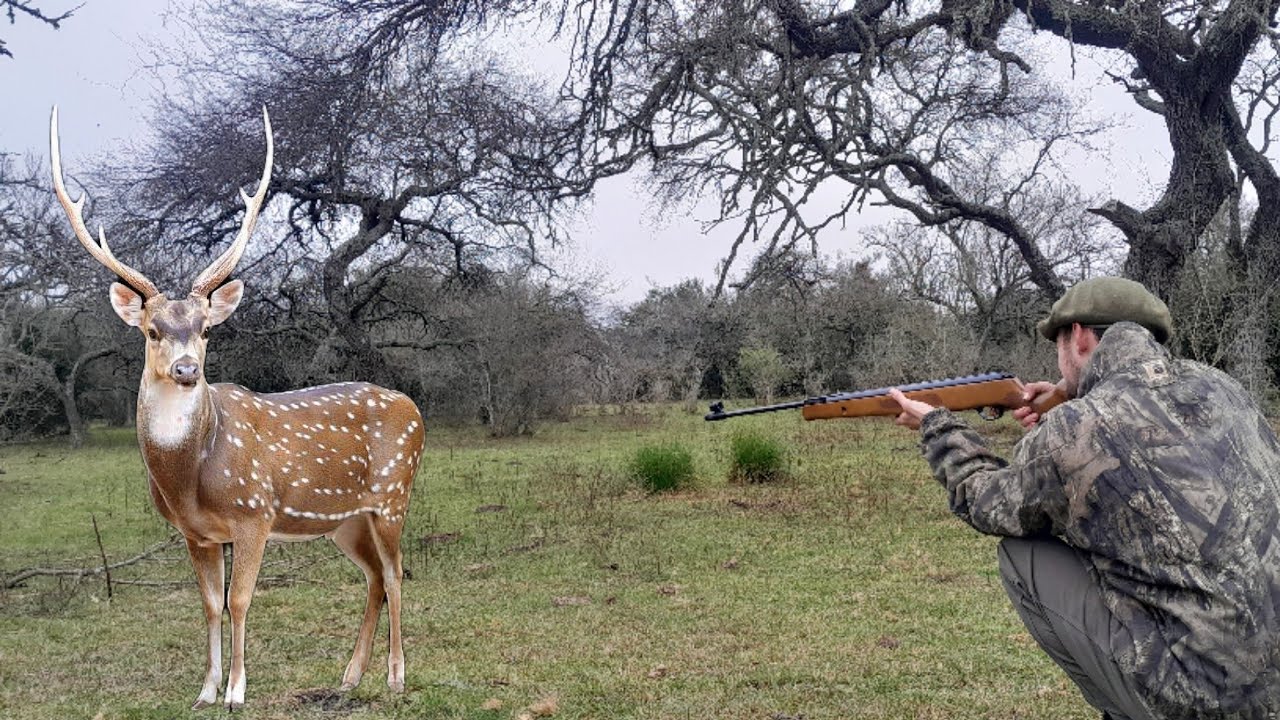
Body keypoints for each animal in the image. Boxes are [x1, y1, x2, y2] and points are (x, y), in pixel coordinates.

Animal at [50, 107, 424, 709]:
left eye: (205, 330)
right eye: (153, 331)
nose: (186, 370)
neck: (190, 477)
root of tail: (415, 410)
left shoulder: (254, 514)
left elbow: (241, 600)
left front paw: (237, 691)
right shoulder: (196, 533)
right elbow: (208, 603)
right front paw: (205, 690)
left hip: (393, 494)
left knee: (395, 573)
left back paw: (394, 676)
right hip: (343, 520)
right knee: (372, 576)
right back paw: (349, 675)